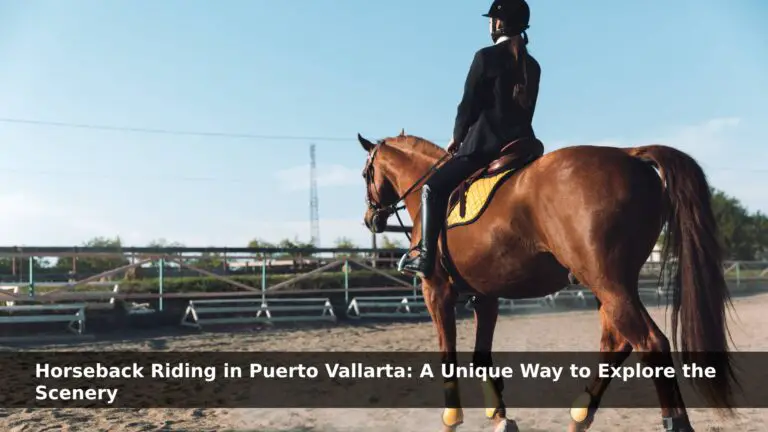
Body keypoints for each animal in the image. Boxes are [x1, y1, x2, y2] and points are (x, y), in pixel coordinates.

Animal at [356, 132, 736, 432]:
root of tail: (628, 153)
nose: (370, 218)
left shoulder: (436, 290)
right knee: (617, 343)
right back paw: (580, 415)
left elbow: (447, 353)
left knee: (651, 343)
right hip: (610, 284)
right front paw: (500, 417)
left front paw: (452, 419)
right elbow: (481, 356)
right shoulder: (486, 297)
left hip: (607, 282)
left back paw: (672, 423)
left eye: (365, 173)